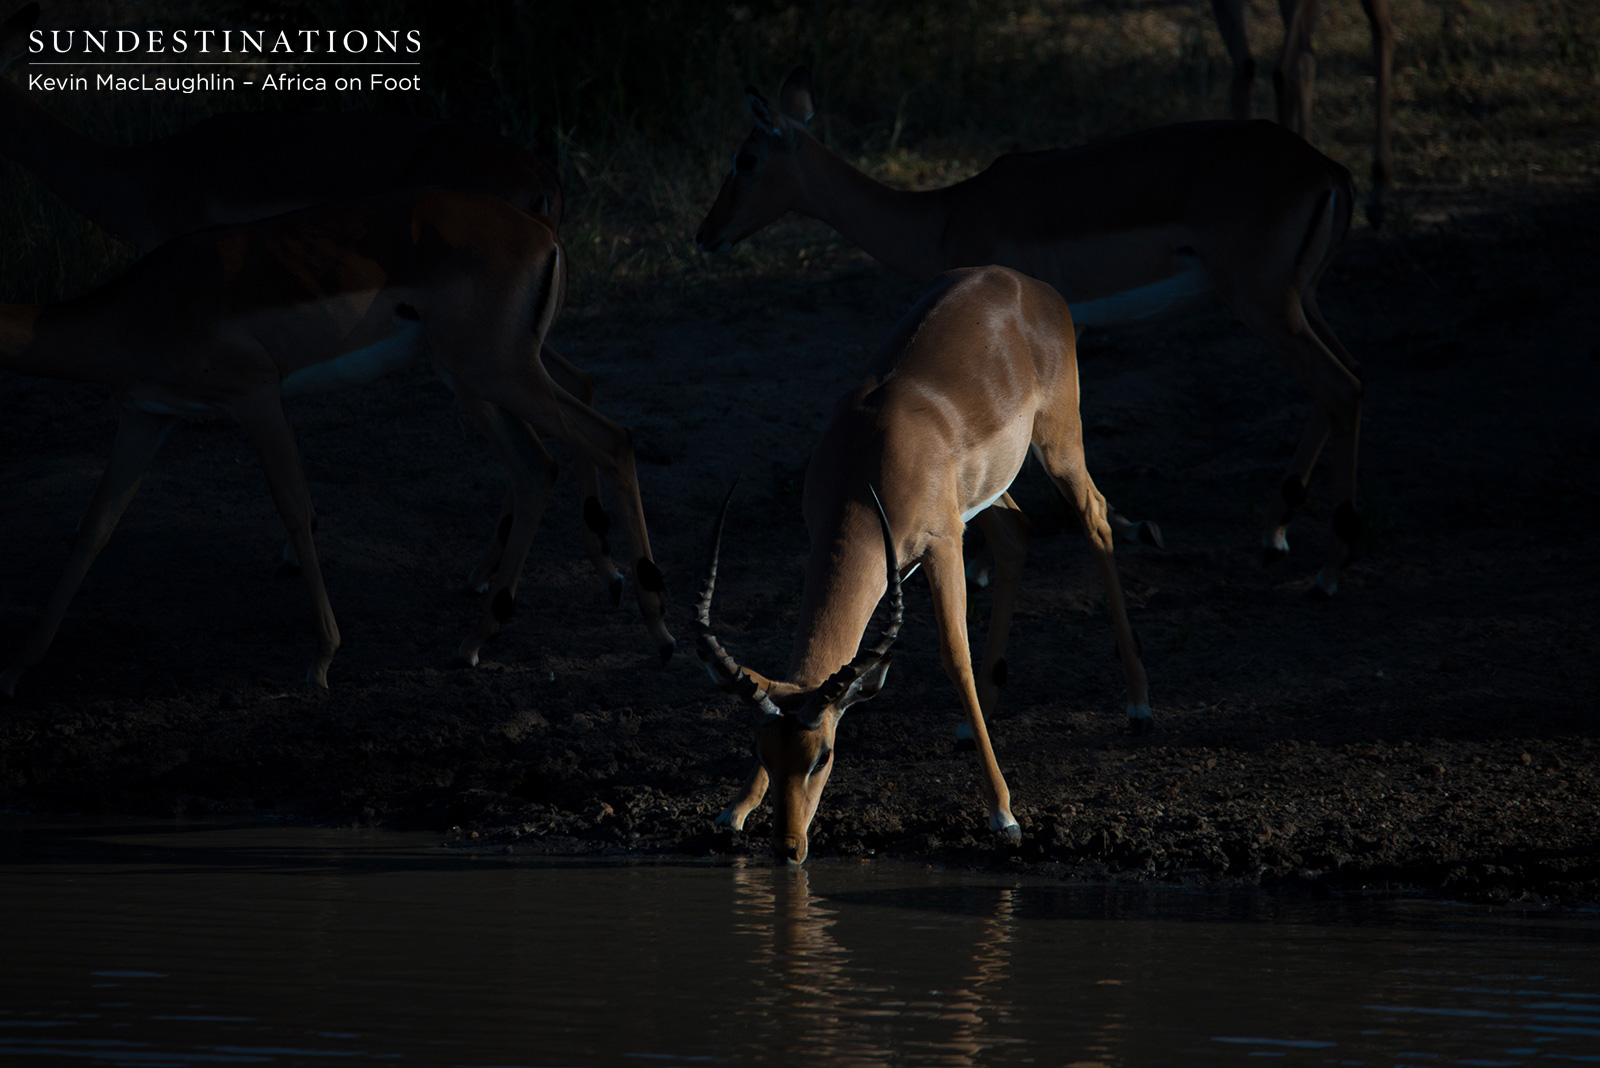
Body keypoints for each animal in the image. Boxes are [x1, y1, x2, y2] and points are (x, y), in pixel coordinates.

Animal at [0, 3, 629, 611]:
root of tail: (543, 178)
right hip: (511, 339)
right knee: (581, 385)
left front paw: (291, 555)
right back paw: (590, 573)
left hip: (480, 346)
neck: (153, 174)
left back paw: (513, 578)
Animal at [0, 189, 675, 697]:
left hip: (493, 373)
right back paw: (475, 641)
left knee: (610, 438)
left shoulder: (256, 397)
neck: (145, 303)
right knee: (543, 460)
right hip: (477, 375)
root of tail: (540, 231)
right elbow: (93, 526)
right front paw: (20, 665)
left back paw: (656, 628)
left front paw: (322, 660)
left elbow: (298, 511)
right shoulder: (147, 416)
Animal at [696, 265, 1150, 864]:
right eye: (763, 752)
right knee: (1016, 534)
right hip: (985, 496)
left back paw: (1139, 705)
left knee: (1096, 519)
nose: (788, 849)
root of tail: (1026, 283)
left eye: (824, 755)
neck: (867, 458)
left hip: (1058, 443)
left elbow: (955, 658)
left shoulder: (942, 545)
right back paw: (978, 716)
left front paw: (1005, 816)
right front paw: (735, 809)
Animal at [697, 68, 1366, 598]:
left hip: (1265, 306)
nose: (706, 234)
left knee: (1340, 387)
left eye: (744, 159)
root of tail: (1327, 170)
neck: (948, 215)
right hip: (1299, 301)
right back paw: (1276, 532)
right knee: (1348, 378)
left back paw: (1329, 570)